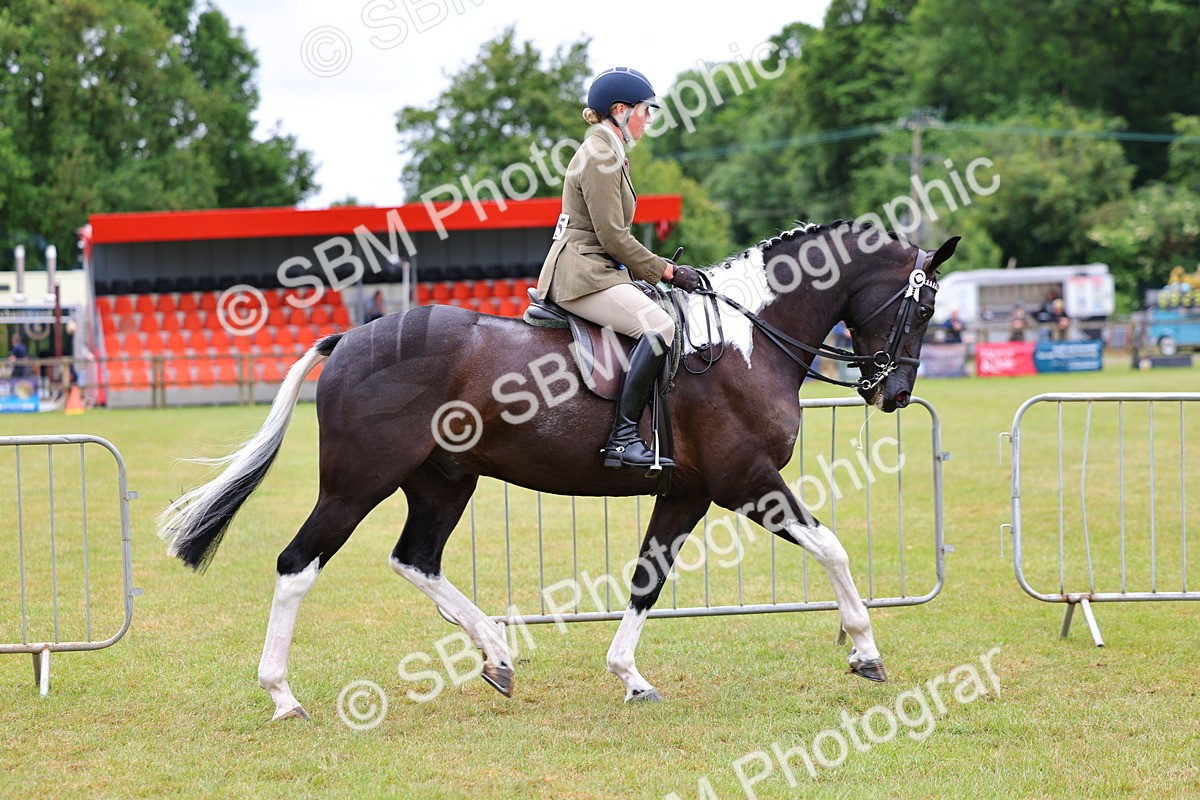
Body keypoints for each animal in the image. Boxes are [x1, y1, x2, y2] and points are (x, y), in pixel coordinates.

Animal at [157, 220, 959, 721]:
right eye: (923, 312)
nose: (894, 393)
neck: (746, 338)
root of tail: (351, 336)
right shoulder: (746, 482)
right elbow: (833, 547)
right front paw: (865, 651)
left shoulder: (688, 491)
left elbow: (646, 580)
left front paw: (630, 677)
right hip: (357, 484)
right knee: (298, 564)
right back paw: (283, 694)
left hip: (444, 481)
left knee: (416, 559)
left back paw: (497, 654)